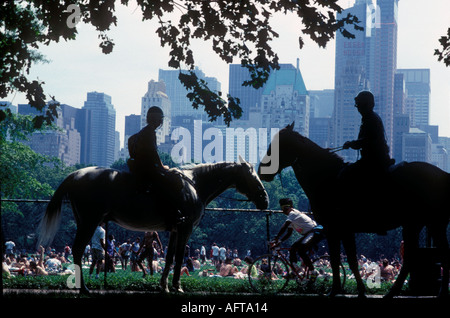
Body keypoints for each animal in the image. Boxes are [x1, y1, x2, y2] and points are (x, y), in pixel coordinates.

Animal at [38, 158, 268, 294]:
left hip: (84, 221)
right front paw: (176, 286)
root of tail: (74, 175)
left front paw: (164, 286)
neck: (194, 186)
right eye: (252, 175)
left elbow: (169, 258)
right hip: (89, 221)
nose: (265, 199)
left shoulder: (174, 230)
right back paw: (83, 288)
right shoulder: (185, 229)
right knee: (78, 250)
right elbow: (178, 258)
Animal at [258, 122, 448, 298]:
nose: (262, 171)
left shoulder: (335, 229)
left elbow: (340, 260)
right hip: (423, 224)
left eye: (278, 144)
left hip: (420, 224)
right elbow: (346, 260)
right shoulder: (342, 230)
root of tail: (443, 174)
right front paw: (355, 290)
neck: (327, 177)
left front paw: (339, 290)